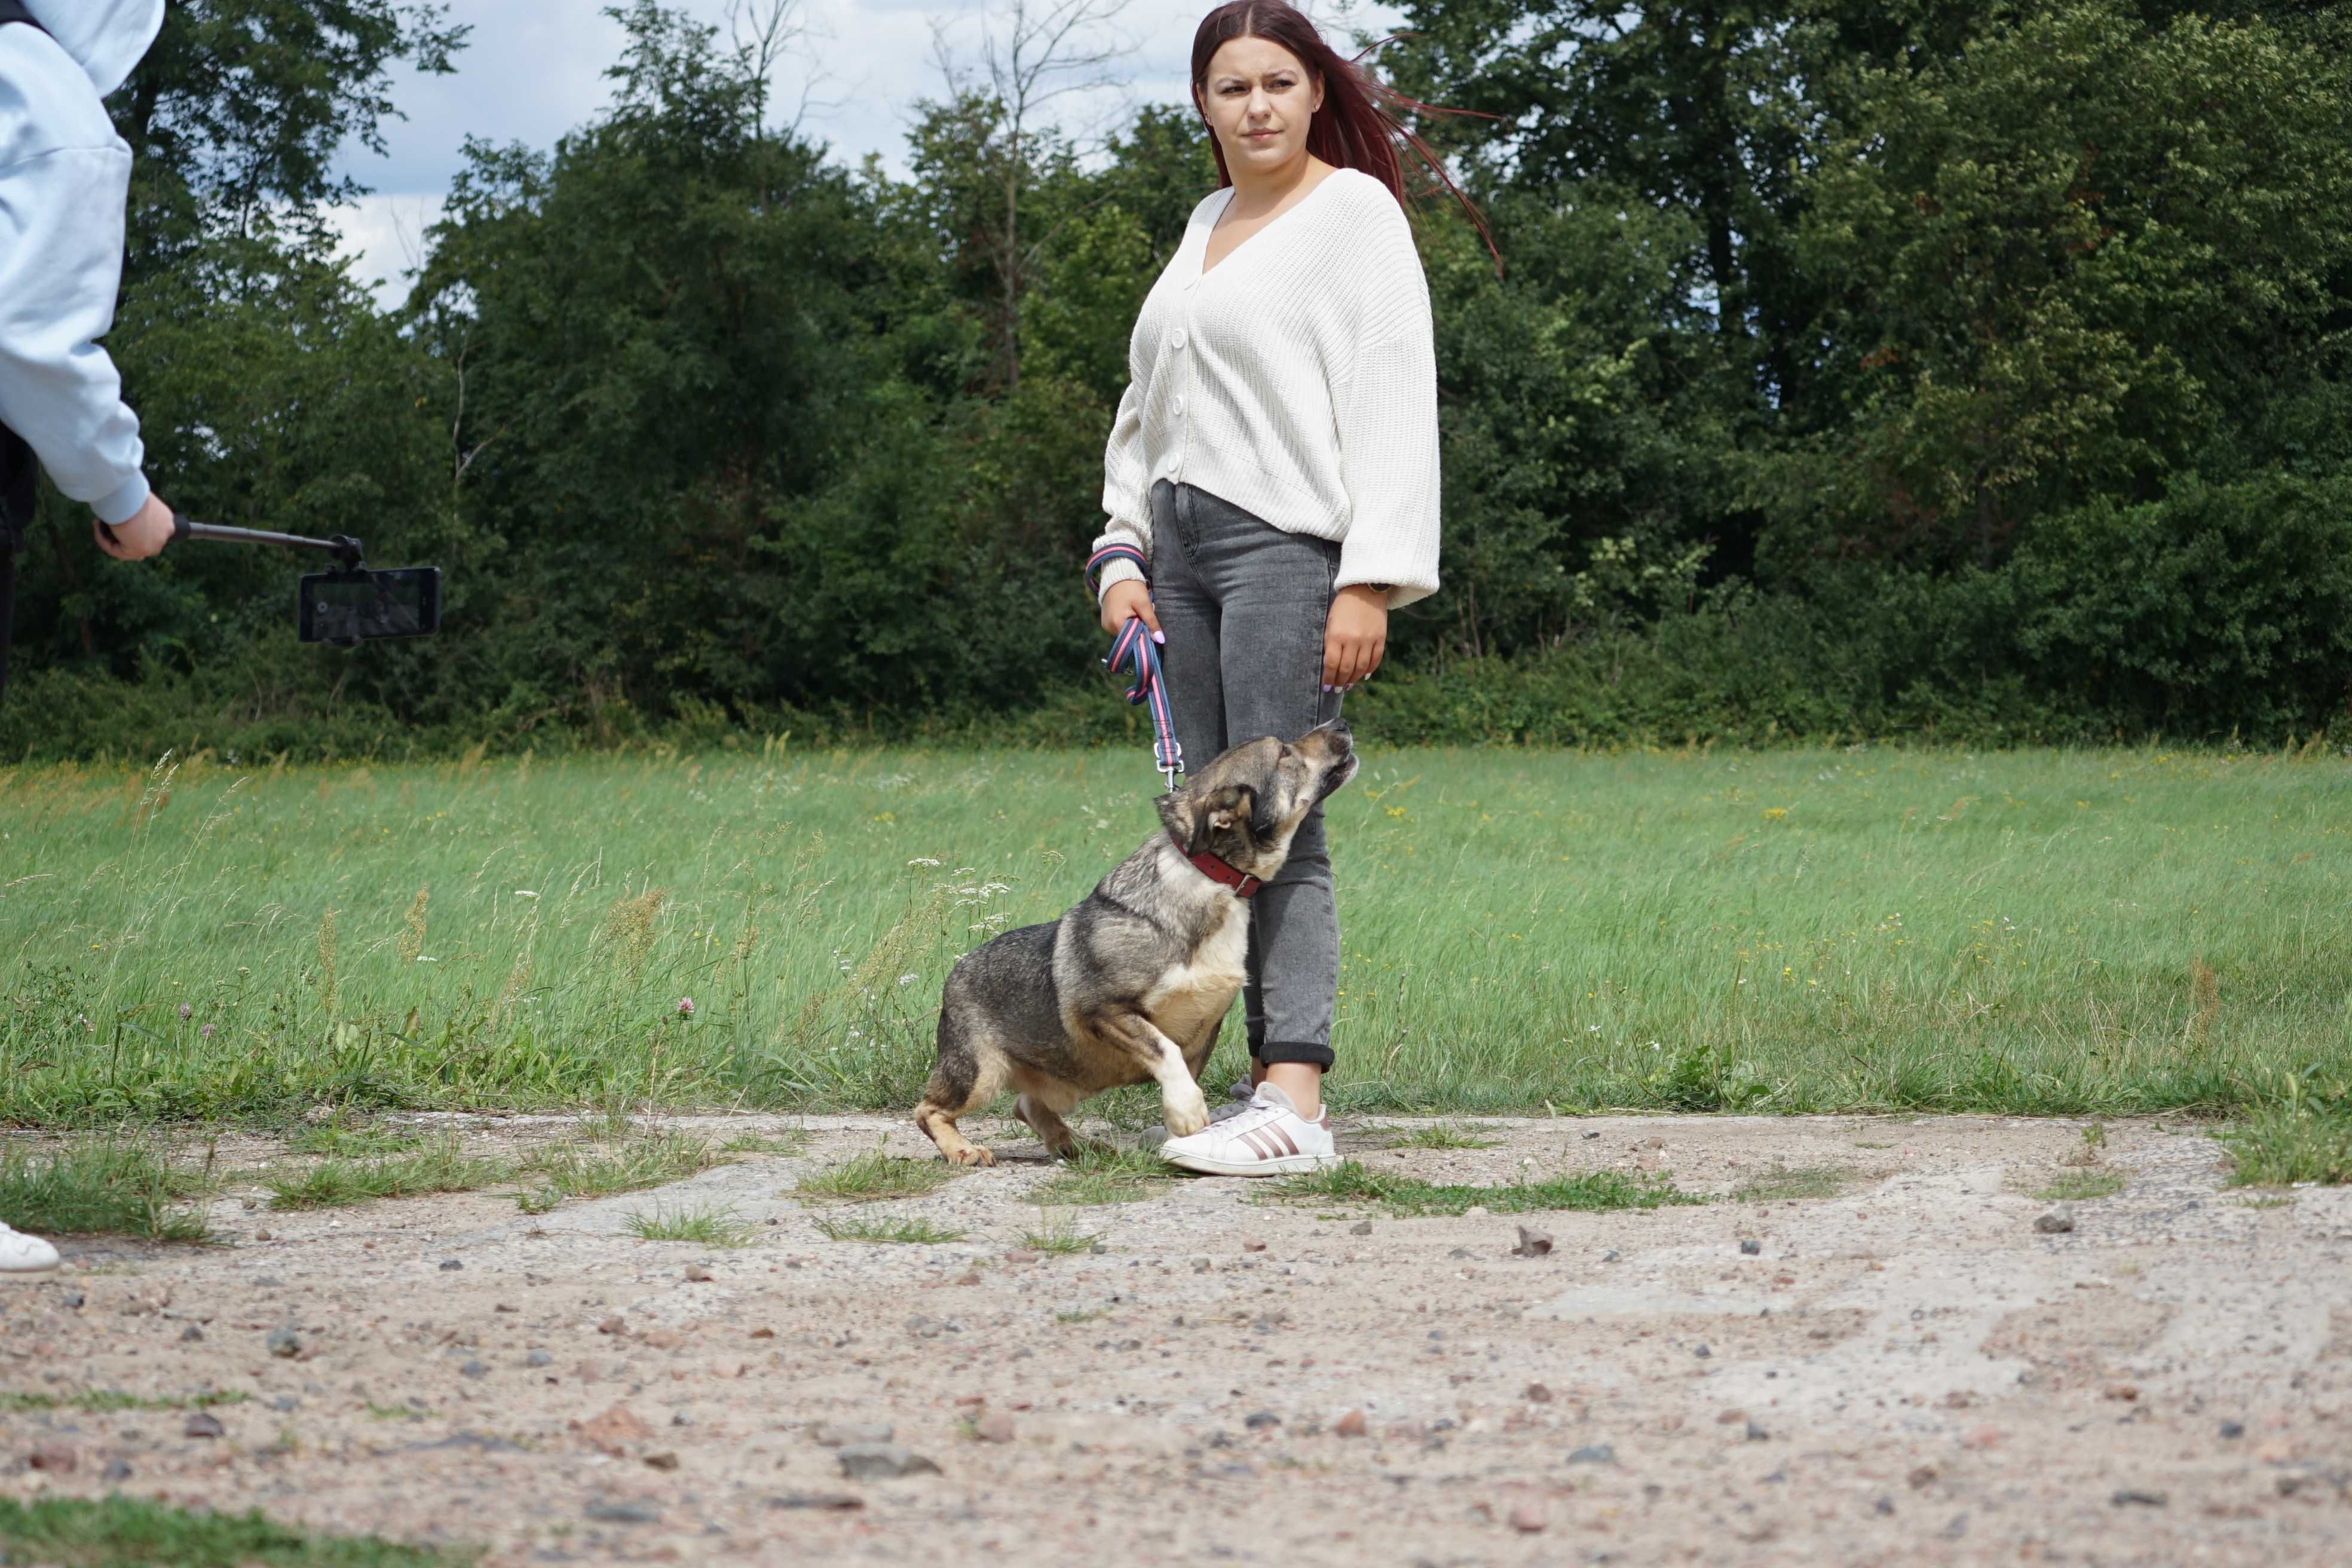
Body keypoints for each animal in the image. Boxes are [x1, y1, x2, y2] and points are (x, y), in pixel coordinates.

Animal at [917, 719, 1364, 1166]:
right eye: (1284, 753)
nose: (1341, 724)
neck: (1209, 880)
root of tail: (955, 971)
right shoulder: (1105, 1011)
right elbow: (1164, 1051)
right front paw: (1188, 1113)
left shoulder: (1205, 1029)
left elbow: (1183, 1073)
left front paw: (1183, 1134)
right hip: (979, 1072)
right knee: (928, 1110)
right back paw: (964, 1149)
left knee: (1025, 1105)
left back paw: (1074, 1144)